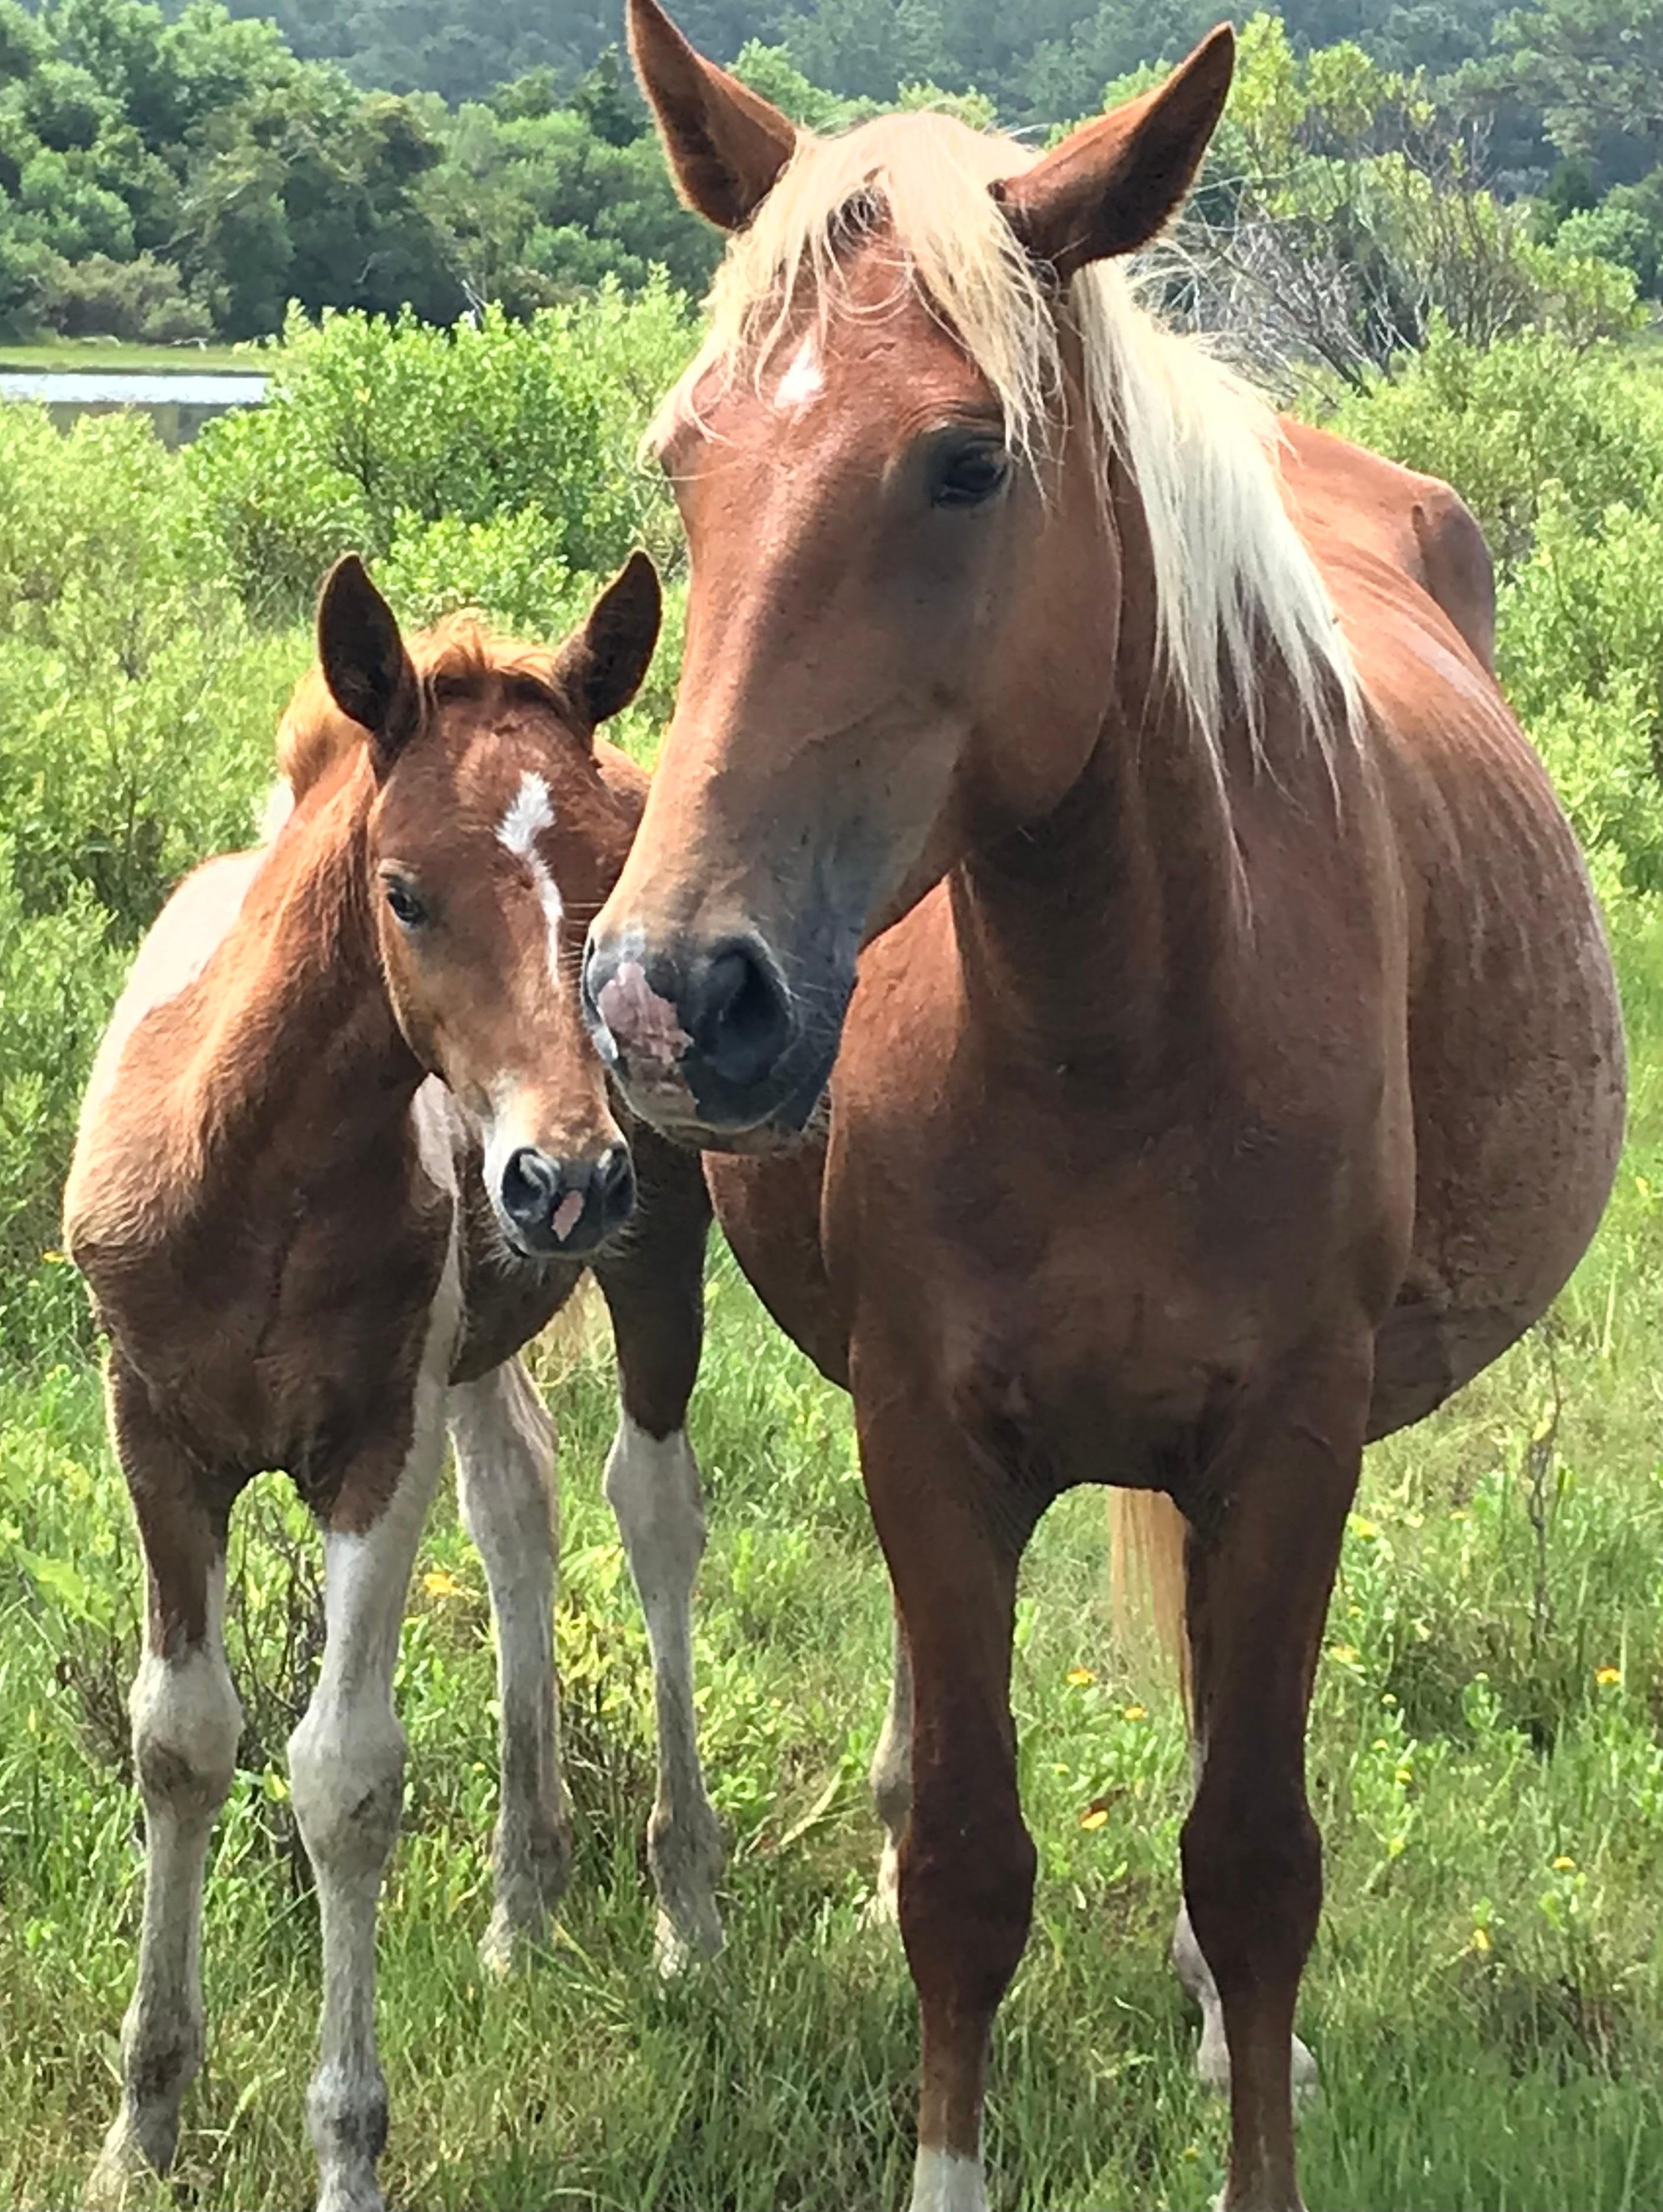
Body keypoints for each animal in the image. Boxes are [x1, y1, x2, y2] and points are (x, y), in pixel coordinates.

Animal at [64, 554, 724, 2212]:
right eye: (405, 891)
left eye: (603, 878)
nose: (567, 1176)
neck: (245, 1174)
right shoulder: (153, 1435)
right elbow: (180, 1741)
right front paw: (140, 2127)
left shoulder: (377, 1443)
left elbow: (343, 1781)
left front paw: (348, 2148)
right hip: (481, 1333)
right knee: (522, 1511)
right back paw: (520, 1905)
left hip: (657, 1264)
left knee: (651, 1513)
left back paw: (685, 1914)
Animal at [582, 9, 1628, 2208]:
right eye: (687, 456)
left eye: (963, 461)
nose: (669, 997)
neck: (1106, 1033)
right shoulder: (922, 1441)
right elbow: (967, 1874)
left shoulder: (1292, 1443)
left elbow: (1251, 1861)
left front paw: (1252, 2072)